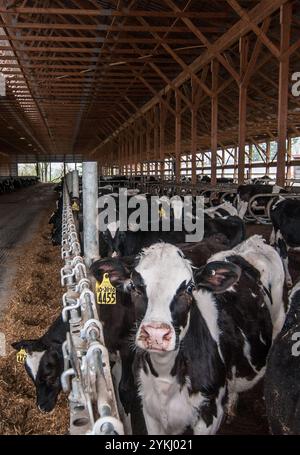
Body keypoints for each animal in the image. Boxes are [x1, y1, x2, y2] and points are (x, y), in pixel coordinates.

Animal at [92, 237, 284, 436]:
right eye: (134, 287)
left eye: (190, 288)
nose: (156, 333)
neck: (165, 377)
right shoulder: (150, 412)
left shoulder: (209, 416)